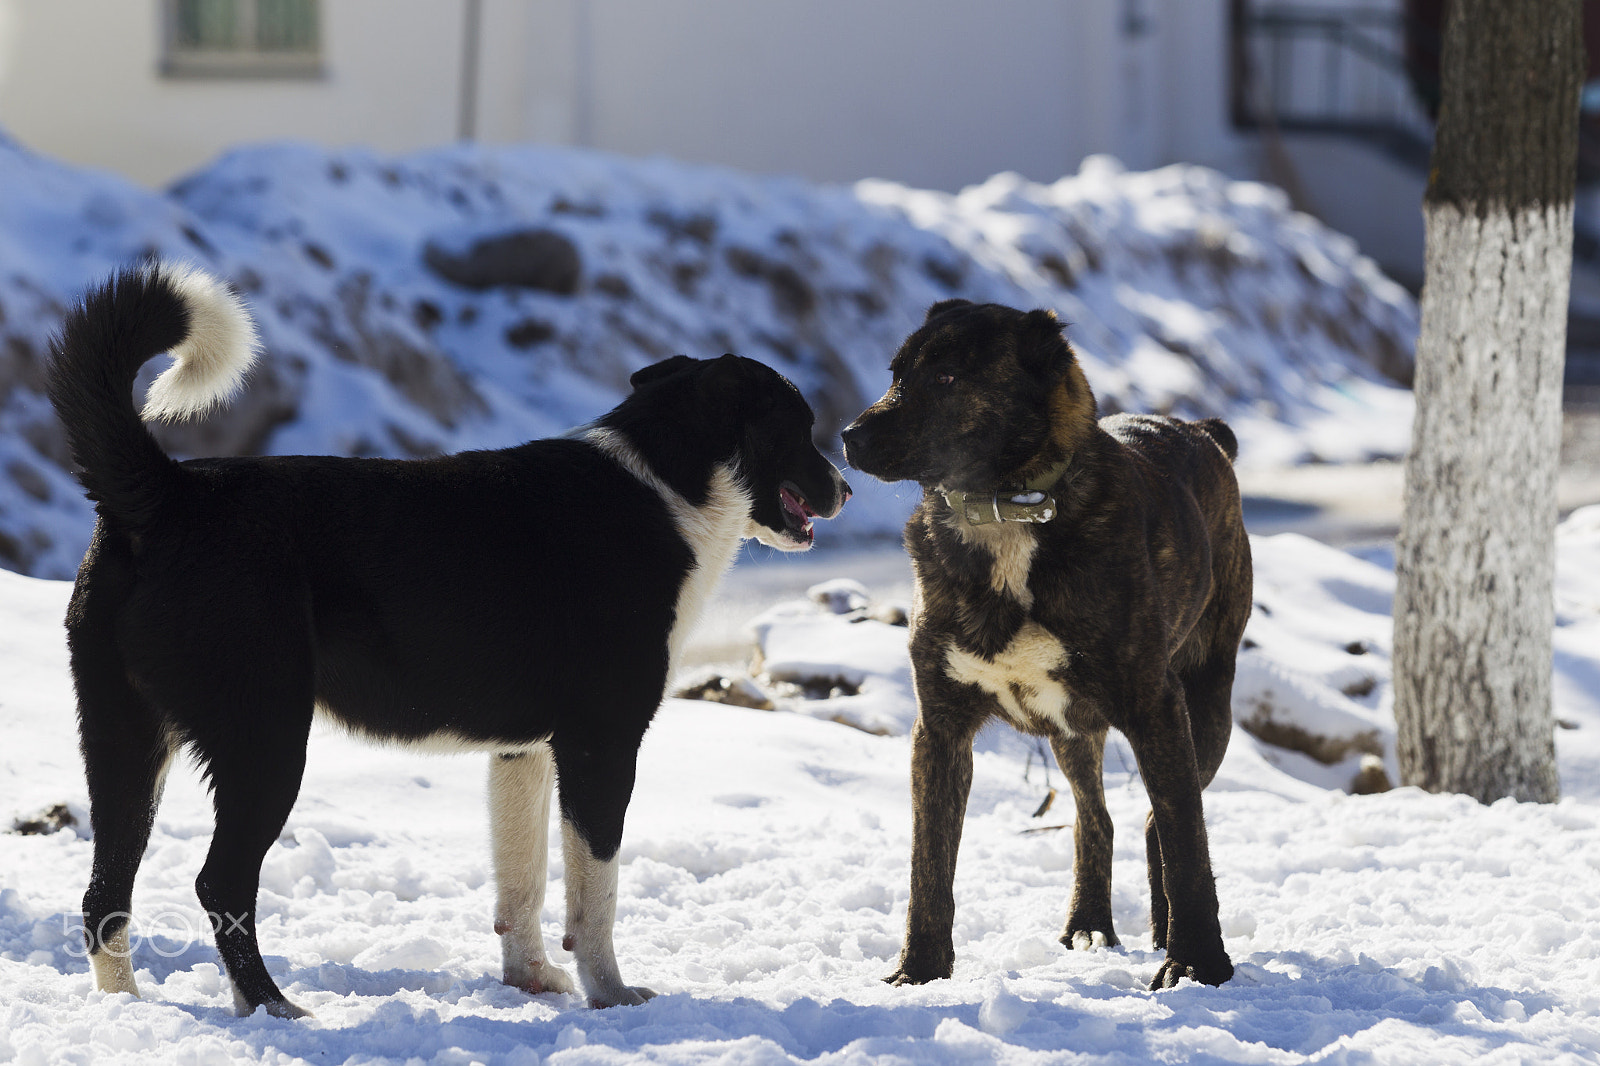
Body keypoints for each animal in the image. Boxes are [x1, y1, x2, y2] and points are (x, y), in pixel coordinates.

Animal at [50, 265, 851, 1011]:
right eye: (800, 425)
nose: (846, 488)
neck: (666, 488)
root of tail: (162, 492)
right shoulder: (601, 745)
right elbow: (594, 894)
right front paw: (611, 995)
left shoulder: (523, 751)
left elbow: (520, 887)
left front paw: (530, 982)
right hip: (264, 743)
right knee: (219, 884)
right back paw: (274, 1008)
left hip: (124, 743)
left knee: (103, 894)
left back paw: (125, 1008)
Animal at [838, 299, 1248, 985]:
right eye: (896, 372)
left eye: (947, 377)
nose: (848, 435)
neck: (1006, 512)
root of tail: (1204, 431)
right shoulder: (940, 730)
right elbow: (929, 866)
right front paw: (920, 971)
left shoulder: (1156, 708)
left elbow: (1189, 845)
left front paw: (1198, 966)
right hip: (1072, 733)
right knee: (1096, 819)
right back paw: (1089, 923)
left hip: (1205, 711)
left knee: (1159, 822)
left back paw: (1163, 932)